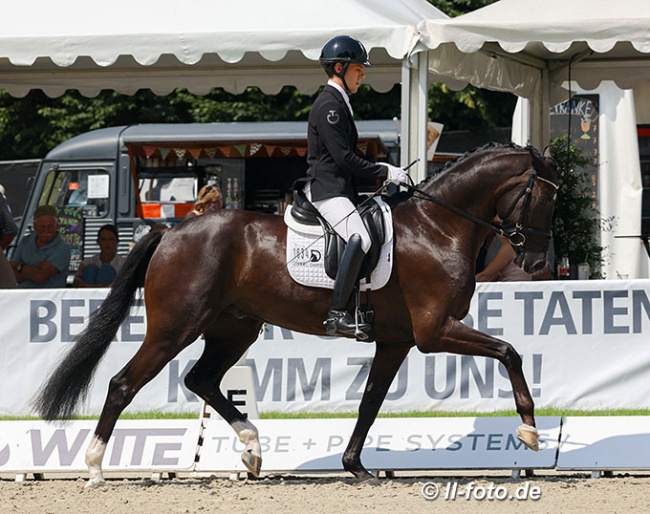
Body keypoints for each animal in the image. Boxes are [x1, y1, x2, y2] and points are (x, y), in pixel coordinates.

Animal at [31, 142, 556, 486]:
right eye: (543, 197)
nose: (536, 264)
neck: (437, 227)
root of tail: (173, 231)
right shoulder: (434, 331)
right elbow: (509, 351)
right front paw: (529, 430)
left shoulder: (397, 340)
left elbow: (370, 402)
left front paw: (356, 466)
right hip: (174, 328)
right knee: (124, 383)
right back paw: (95, 466)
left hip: (233, 329)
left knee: (202, 380)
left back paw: (252, 450)